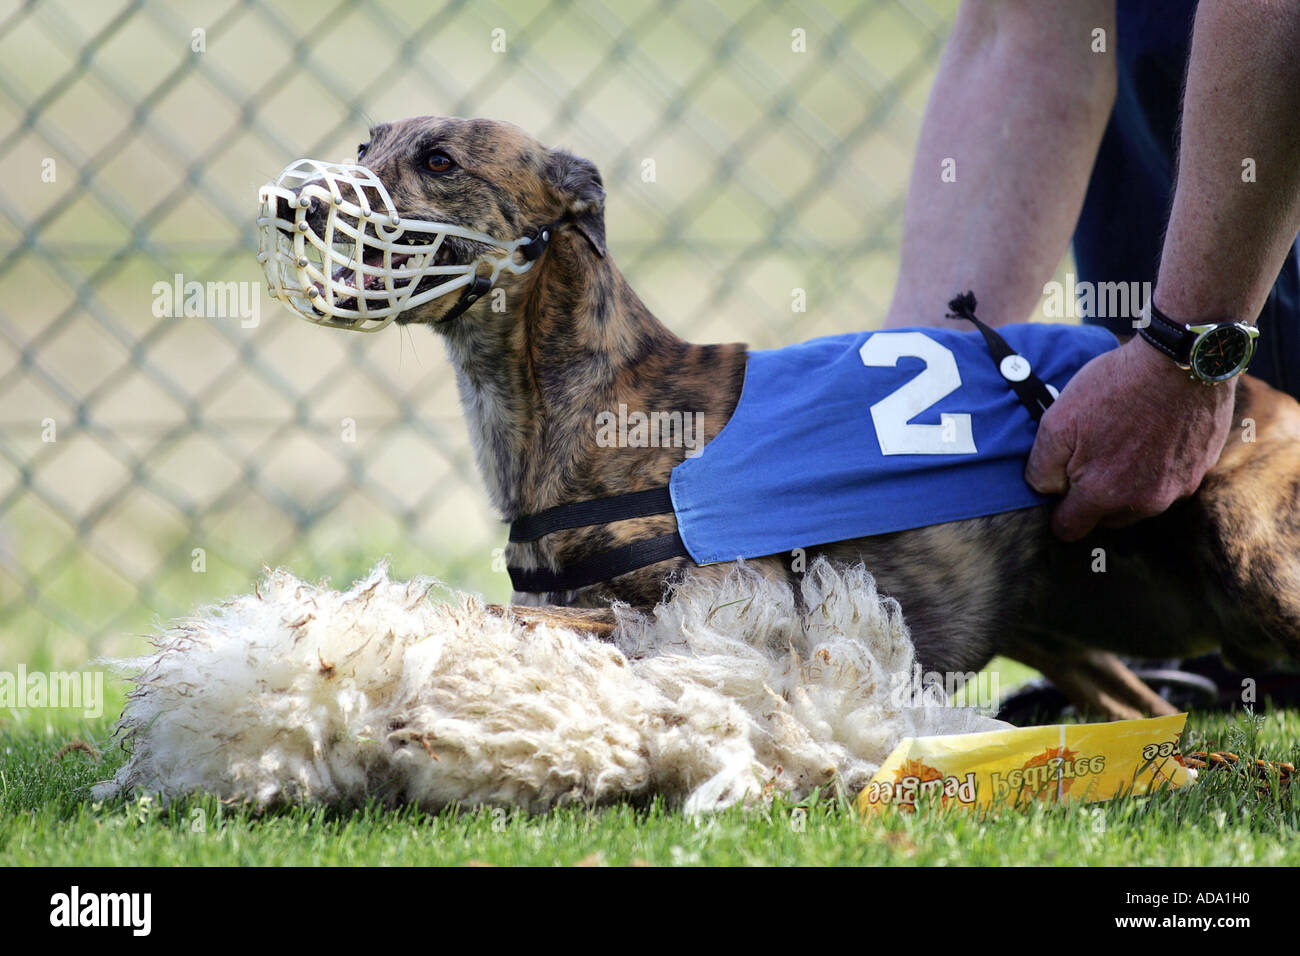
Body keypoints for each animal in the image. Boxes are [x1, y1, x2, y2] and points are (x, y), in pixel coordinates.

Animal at [258, 115, 1300, 717]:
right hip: (1063, 617)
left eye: (438, 160)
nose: (292, 204)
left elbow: (500, 615)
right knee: (1146, 716)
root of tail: (1262, 392)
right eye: (365, 145)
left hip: (1246, 557)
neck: (594, 398)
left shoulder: (697, 627)